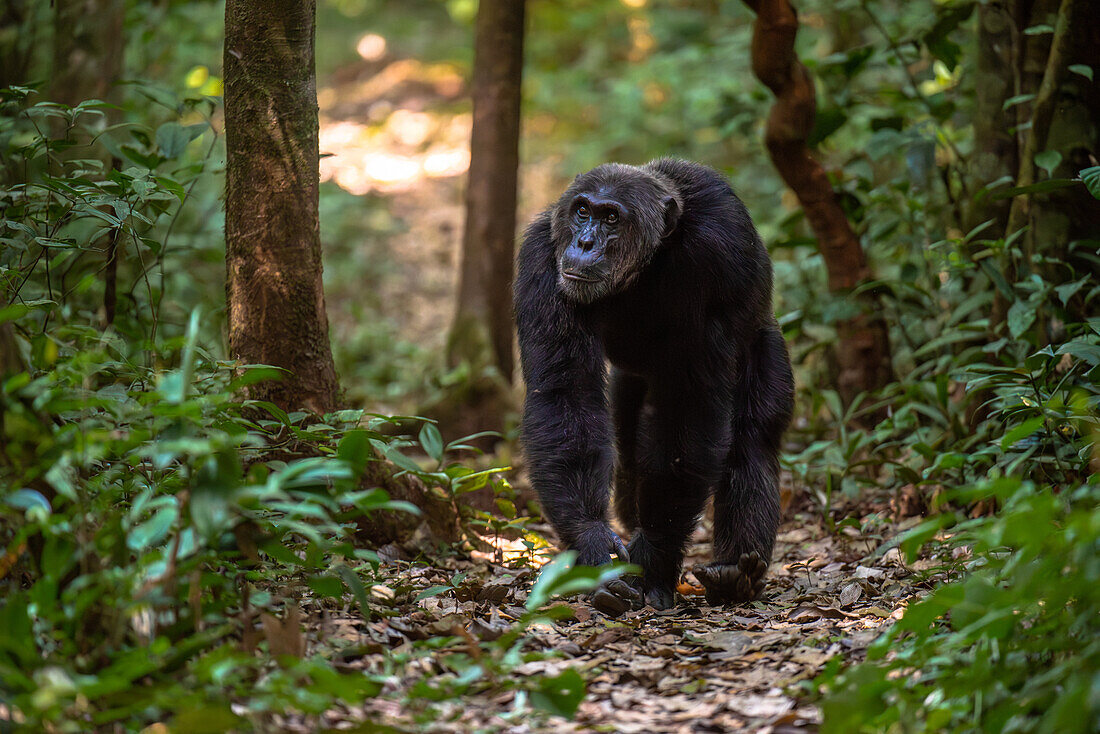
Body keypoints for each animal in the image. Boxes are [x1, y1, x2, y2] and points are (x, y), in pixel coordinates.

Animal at [514, 159, 792, 616]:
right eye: (582, 211)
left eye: (611, 217)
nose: (585, 241)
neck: (647, 265)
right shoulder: (540, 259)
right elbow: (565, 394)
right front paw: (594, 546)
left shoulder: (719, 256)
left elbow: (692, 411)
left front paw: (653, 560)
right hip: (631, 382)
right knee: (628, 446)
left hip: (765, 340)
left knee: (752, 438)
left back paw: (737, 574)